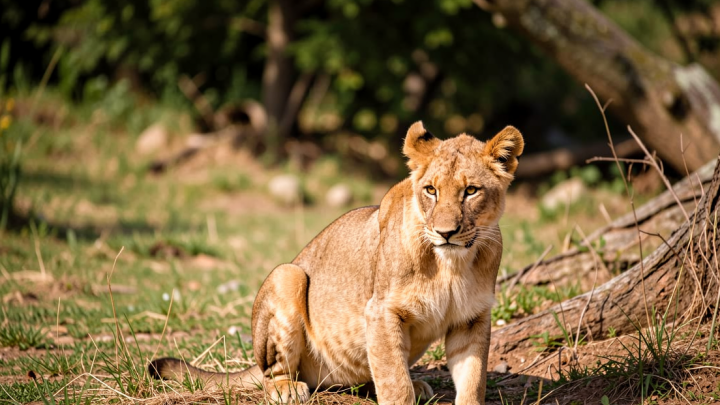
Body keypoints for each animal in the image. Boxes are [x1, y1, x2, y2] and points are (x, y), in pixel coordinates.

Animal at [149, 121, 524, 405]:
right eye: (431, 190)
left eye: (471, 191)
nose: (446, 233)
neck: (452, 265)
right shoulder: (381, 311)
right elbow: (394, 384)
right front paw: (402, 391)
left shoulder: (472, 319)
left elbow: (473, 381)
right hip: (288, 274)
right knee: (273, 373)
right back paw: (288, 390)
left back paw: (416, 385)